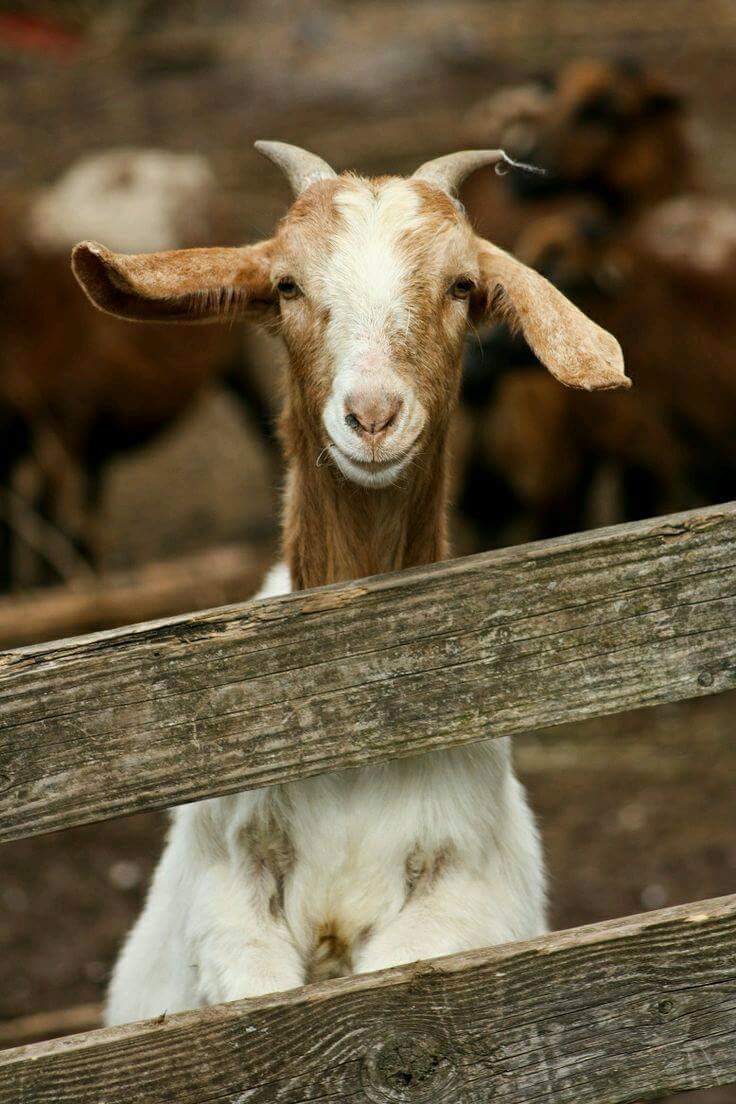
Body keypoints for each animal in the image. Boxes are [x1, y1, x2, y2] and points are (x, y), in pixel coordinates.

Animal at [72, 141, 628, 1023]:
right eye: (287, 286)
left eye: (460, 286)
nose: (371, 416)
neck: (353, 703)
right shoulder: (226, 889)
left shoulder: (460, 893)